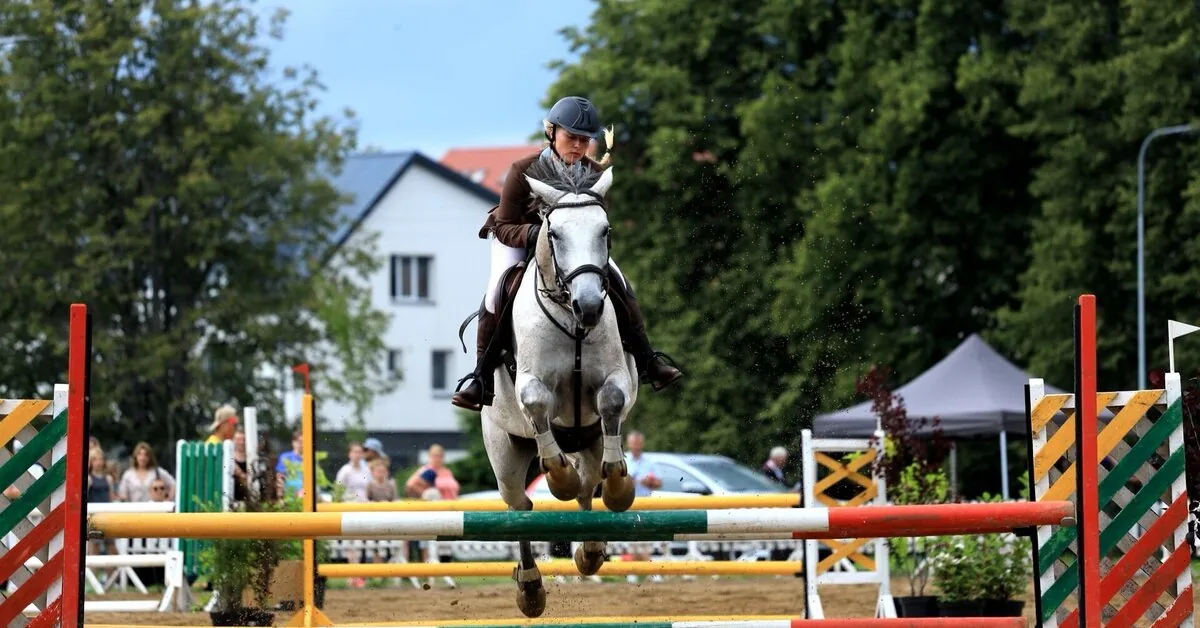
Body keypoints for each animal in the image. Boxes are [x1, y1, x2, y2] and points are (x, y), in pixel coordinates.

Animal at [479, 159, 639, 617]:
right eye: (554, 234)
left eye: (605, 229)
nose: (590, 307)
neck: (571, 319)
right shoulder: (531, 385)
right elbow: (536, 405)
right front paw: (558, 477)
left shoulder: (613, 380)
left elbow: (612, 400)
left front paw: (620, 487)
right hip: (504, 450)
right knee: (520, 507)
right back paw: (531, 588)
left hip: (588, 439)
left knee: (590, 483)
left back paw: (591, 549)